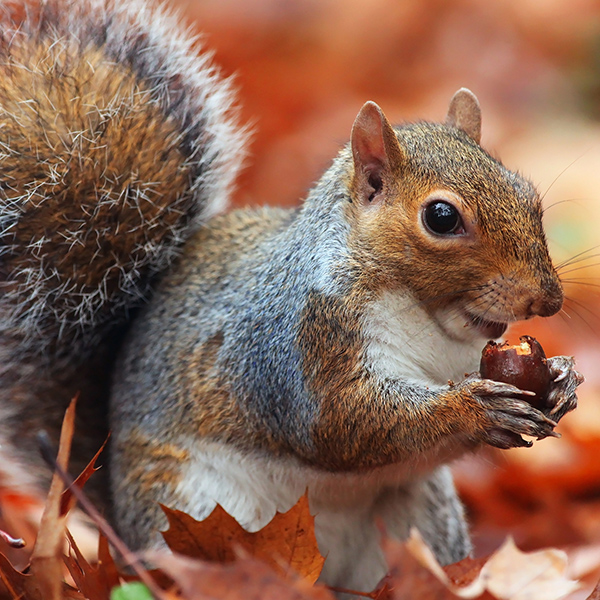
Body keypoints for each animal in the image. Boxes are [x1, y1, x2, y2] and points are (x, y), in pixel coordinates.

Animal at [0, 0, 584, 592]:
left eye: (528, 195)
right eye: (441, 217)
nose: (547, 301)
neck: (430, 319)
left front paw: (561, 379)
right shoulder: (295, 342)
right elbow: (340, 422)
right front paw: (475, 408)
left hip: (420, 520)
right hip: (193, 513)